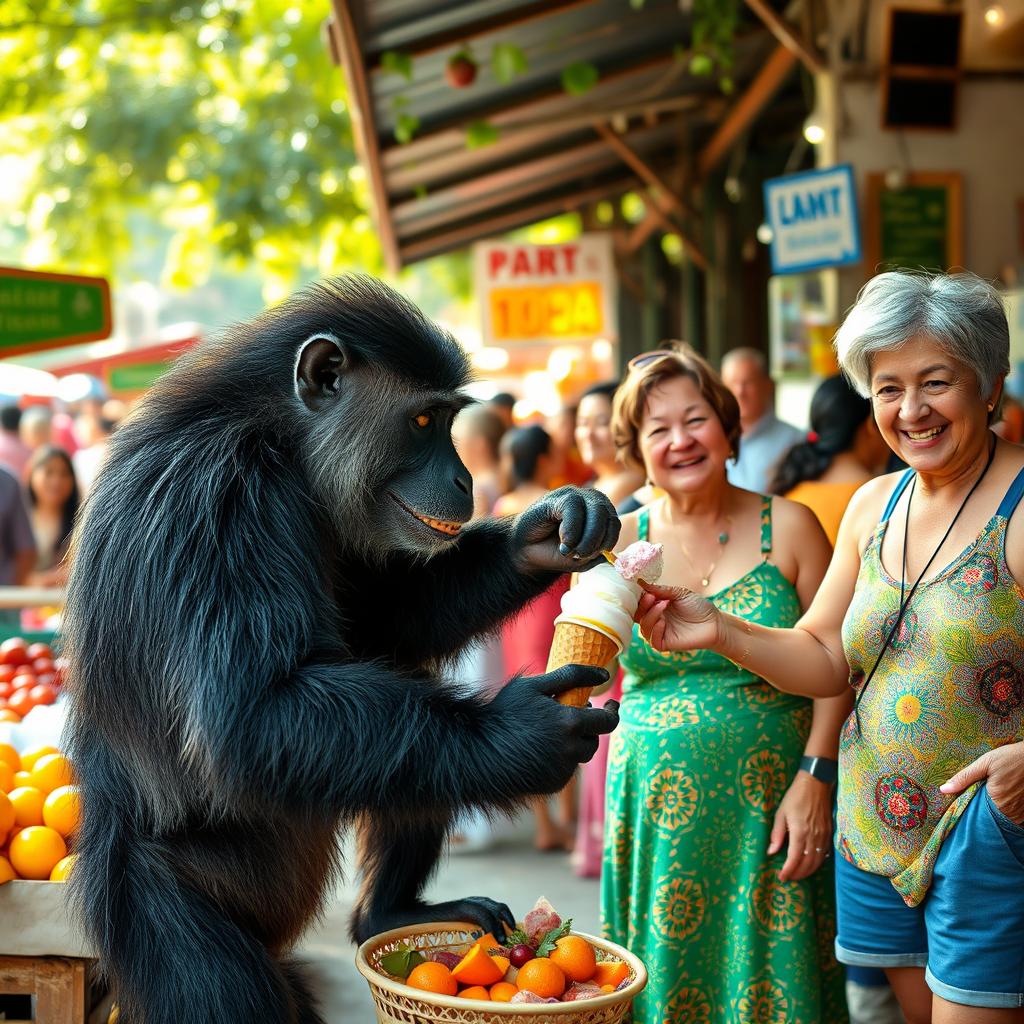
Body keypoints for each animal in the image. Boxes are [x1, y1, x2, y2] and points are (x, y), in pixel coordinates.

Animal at [66, 274, 622, 1024]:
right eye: (424, 422)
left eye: (448, 421)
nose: (465, 479)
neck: (282, 440)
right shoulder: (222, 501)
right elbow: (252, 715)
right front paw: (523, 730)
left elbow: (394, 619)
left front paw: (544, 529)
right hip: (157, 911)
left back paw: (389, 914)